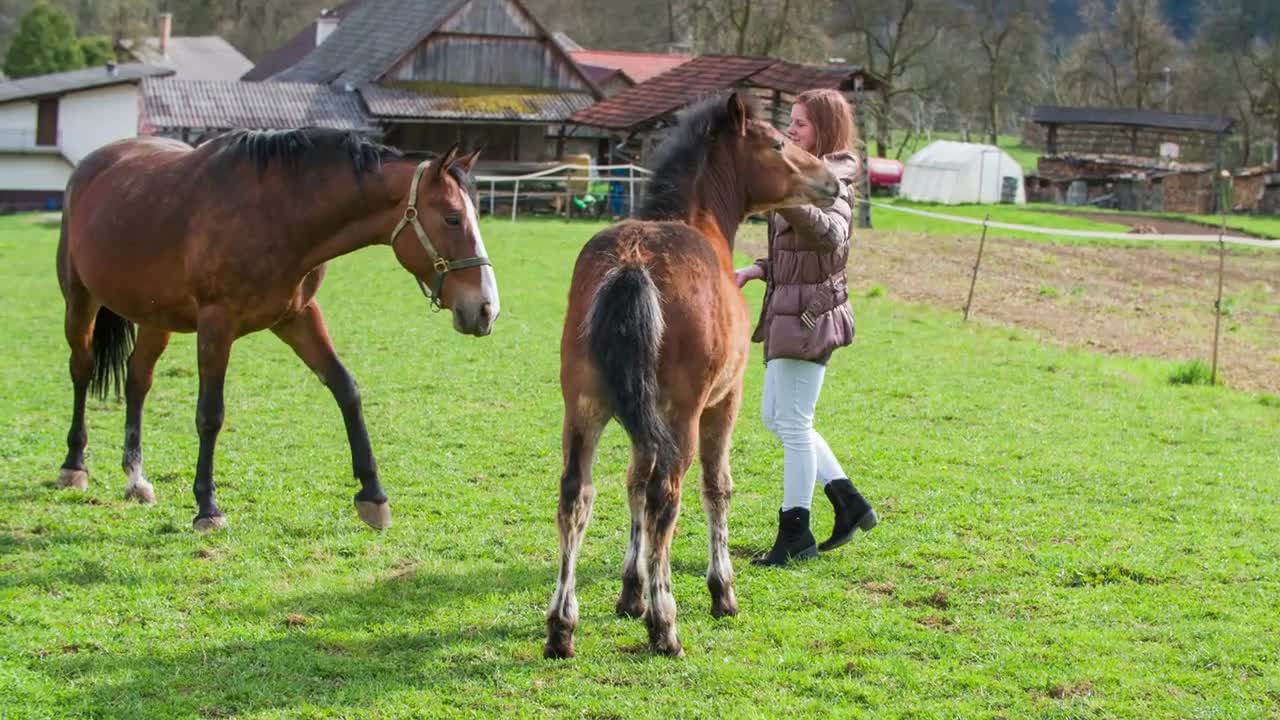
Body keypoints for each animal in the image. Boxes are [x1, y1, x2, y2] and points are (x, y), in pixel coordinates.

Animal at [55, 128, 496, 530]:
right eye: (453, 218)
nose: (486, 308)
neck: (279, 213)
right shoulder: (216, 323)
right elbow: (210, 414)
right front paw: (207, 507)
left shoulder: (297, 317)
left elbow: (346, 389)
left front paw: (373, 495)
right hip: (80, 299)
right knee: (82, 368)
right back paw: (73, 465)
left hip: (155, 318)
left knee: (137, 379)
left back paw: (136, 478)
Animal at [542, 94, 834, 655]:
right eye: (778, 142)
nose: (832, 180)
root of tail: (632, 263)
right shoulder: (724, 402)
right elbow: (716, 487)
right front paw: (721, 592)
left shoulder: (642, 418)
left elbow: (632, 483)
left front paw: (630, 594)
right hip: (682, 415)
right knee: (667, 495)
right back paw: (666, 625)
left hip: (585, 407)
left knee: (576, 494)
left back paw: (562, 628)